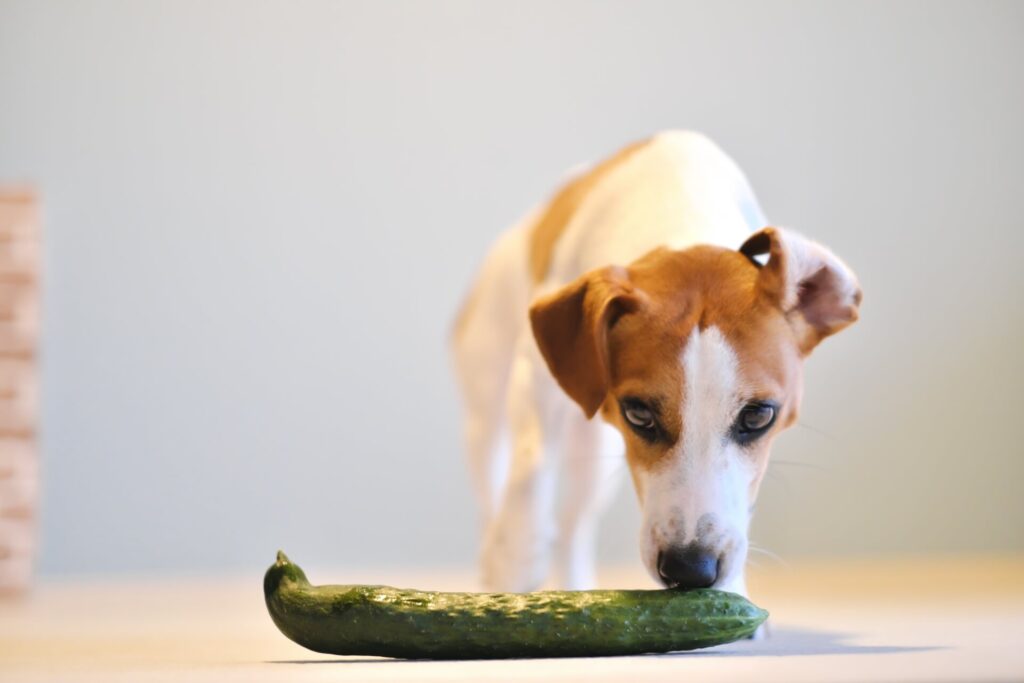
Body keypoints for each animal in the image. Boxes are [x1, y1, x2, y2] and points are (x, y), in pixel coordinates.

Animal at [452, 131, 860, 602]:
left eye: (758, 417)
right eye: (639, 414)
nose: (691, 569)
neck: (682, 209)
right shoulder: (534, 377)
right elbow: (530, 463)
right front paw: (517, 556)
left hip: (593, 460)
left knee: (574, 526)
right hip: (486, 413)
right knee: (496, 484)